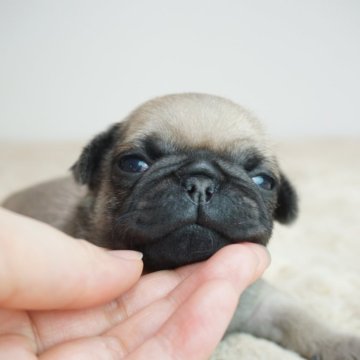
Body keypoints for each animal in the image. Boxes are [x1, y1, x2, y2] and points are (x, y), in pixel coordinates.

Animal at [3, 94, 360, 358]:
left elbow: (301, 319)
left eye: (264, 181)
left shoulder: (263, 302)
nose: (201, 182)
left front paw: (341, 343)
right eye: (133, 164)